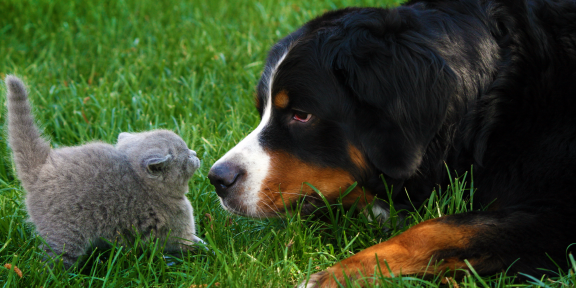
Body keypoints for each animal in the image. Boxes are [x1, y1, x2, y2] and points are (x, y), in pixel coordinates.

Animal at [4, 75, 206, 268]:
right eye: (186, 156)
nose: (195, 154)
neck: (147, 187)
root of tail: (43, 167)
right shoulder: (177, 229)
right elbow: (192, 244)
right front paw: (208, 250)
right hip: (65, 233)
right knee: (53, 261)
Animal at [209, 0, 576, 284]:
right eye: (262, 110)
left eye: (301, 115)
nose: (218, 178)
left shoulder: (558, 213)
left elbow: (440, 228)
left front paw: (338, 274)